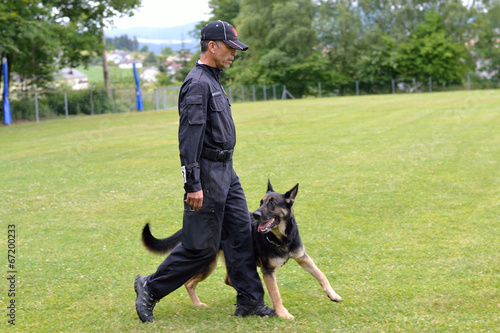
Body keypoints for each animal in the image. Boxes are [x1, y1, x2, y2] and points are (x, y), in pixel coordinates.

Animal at [143, 180, 342, 318]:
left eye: (272, 203)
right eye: (261, 202)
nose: (256, 214)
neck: (282, 238)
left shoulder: (303, 258)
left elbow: (321, 275)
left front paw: (333, 295)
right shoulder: (268, 271)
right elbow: (277, 295)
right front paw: (283, 314)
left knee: (229, 279)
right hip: (208, 263)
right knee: (189, 282)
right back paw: (197, 304)